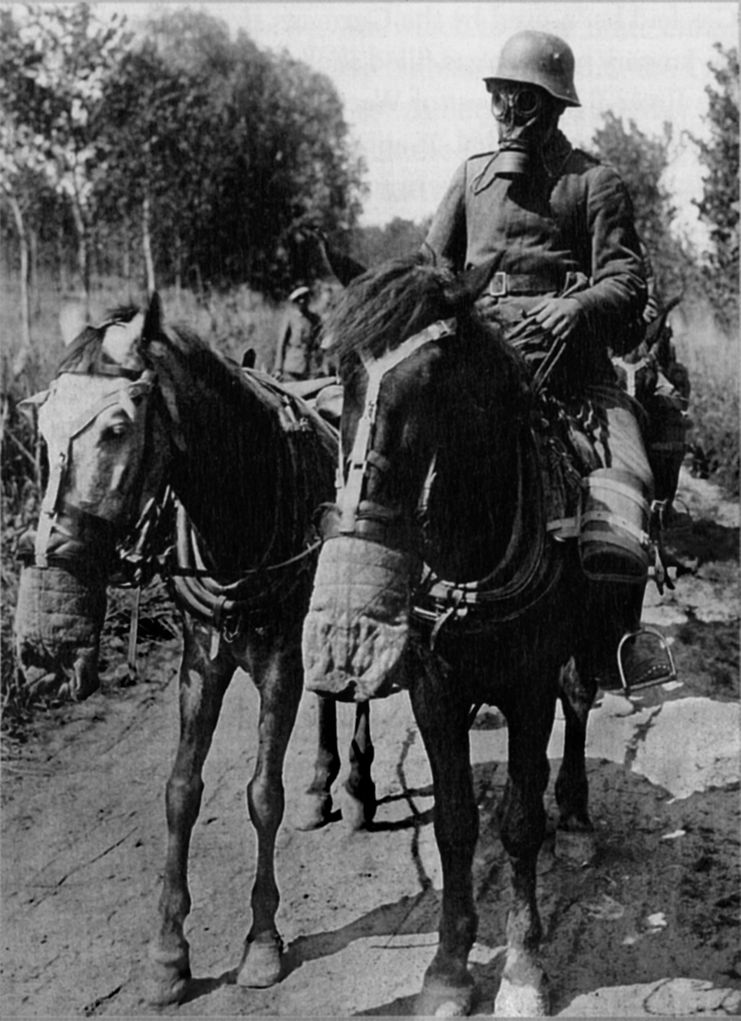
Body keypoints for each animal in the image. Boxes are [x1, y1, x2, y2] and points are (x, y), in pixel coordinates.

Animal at [9, 296, 373, 1004]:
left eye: (117, 428)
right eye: (40, 426)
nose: (55, 554)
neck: (243, 501)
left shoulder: (281, 663)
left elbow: (262, 794)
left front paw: (262, 942)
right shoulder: (201, 659)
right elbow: (181, 791)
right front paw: (168, 956)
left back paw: (360, 785)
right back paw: (322, 785)